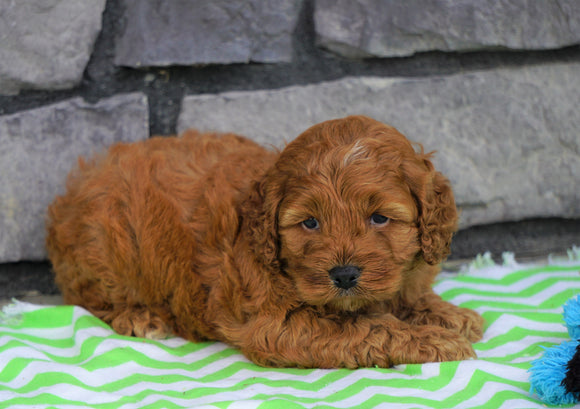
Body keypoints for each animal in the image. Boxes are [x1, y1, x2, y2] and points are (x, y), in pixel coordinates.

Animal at [46, 114, 484, 366]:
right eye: (310, 223)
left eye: (379, 218)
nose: (343, 276)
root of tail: (71, 194)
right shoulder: (278, 325)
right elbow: (368, 328)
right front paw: (435, 340)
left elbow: (405, 299)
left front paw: (449, 314)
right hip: (110, 250)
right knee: (86, 297)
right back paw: (140, 318)